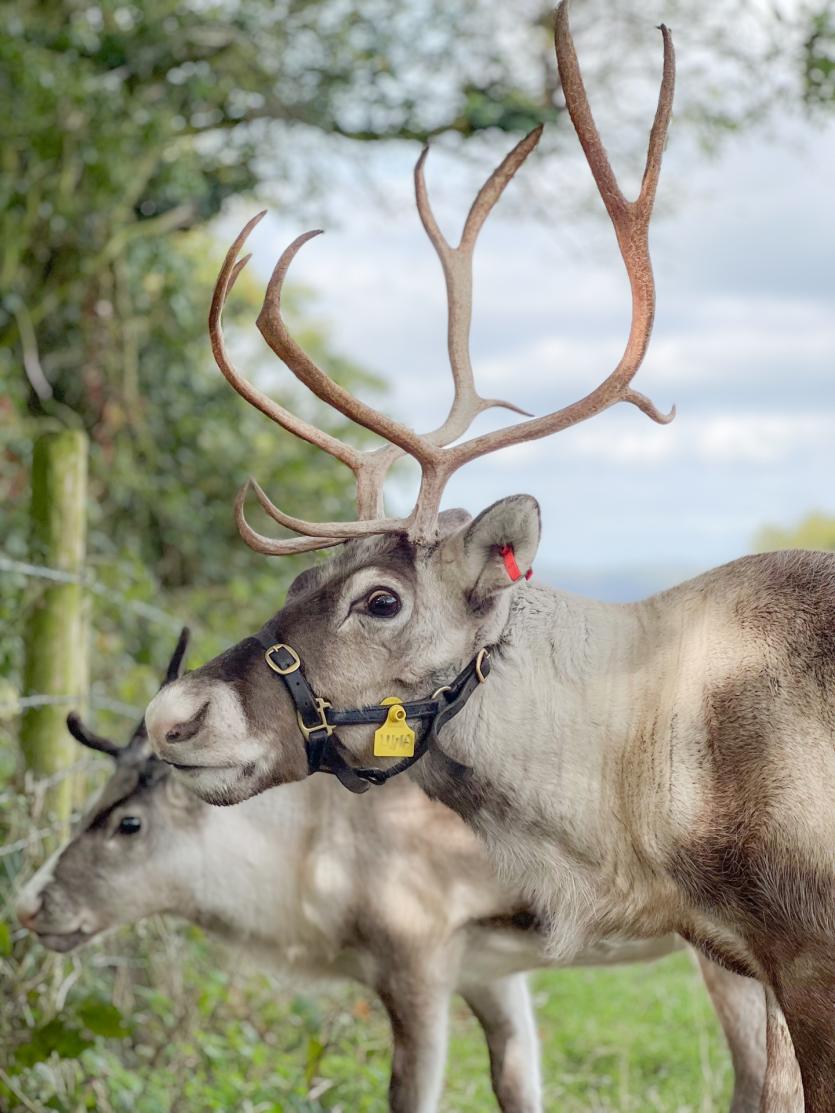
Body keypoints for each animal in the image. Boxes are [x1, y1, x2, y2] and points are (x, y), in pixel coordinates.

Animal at [18, 632, 794, 1113]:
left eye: (128, 822)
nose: (28, 905)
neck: (307, 851)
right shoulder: (489, 970)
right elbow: (516, 1085)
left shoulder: (413, 960)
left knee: (758, 1076)